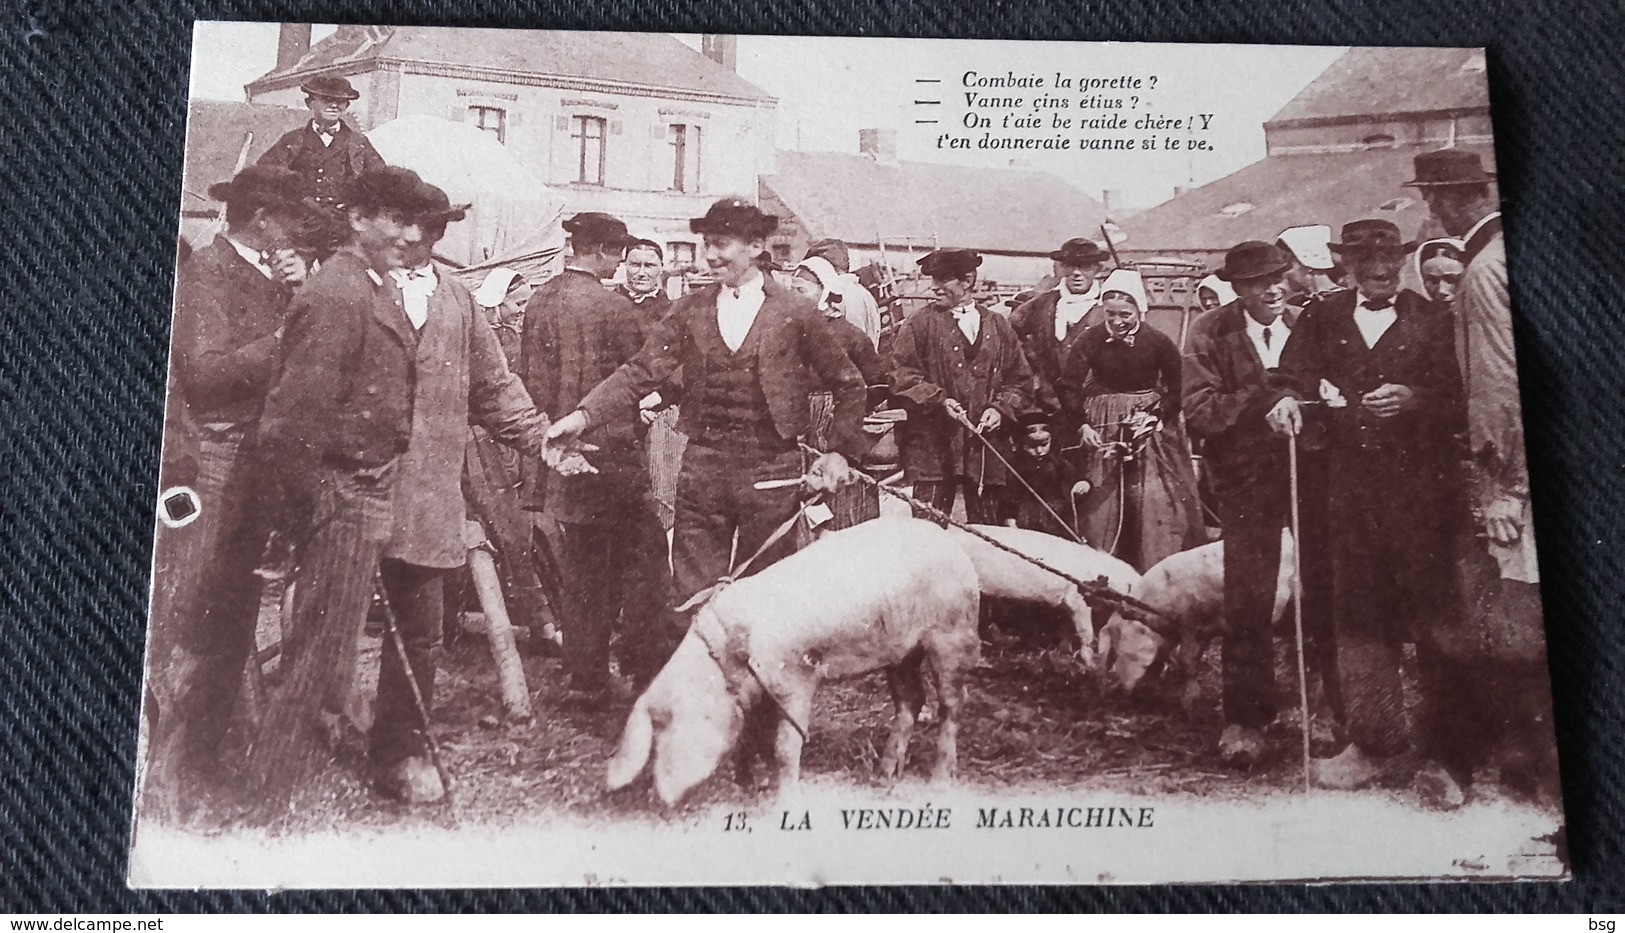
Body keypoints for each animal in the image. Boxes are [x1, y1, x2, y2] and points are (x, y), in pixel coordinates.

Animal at [607, 516, 975, 809]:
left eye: (669, 725)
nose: (658, 802)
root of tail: (953, 543)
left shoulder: (798, 679)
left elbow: (786, 744)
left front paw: (785, 801)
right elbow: (753, 736)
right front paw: (750, 786)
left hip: (951, 634)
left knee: (952, 705)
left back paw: (939, 782)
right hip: (901, 652)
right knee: (911, 700)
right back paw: (882, 776)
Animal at [942, 526, 1144, 666]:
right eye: (1131, 588)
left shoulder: (1067, 603)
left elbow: (1066, 627)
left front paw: (1064, 652)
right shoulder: (1077, 599)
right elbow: (1086, 630)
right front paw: (1090, 663)